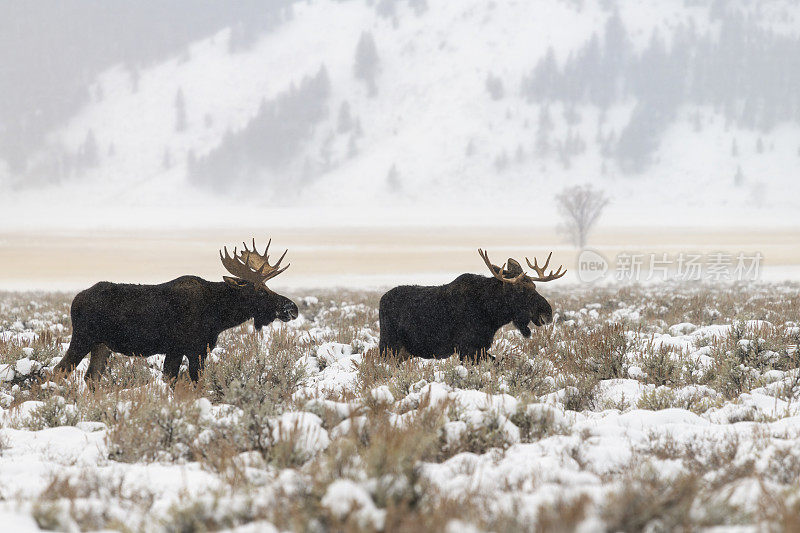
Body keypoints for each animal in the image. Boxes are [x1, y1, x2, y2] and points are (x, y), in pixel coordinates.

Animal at [54, 238, 296, 382]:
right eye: (261, 291)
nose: (291, 307)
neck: (219, 317)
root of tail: (75, 300)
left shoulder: (179, 350)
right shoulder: (192, 349)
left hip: (102, 346)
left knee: (90, 378)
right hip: (83, 338)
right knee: (59, 370)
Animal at [378, 248, 564, 358]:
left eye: (534, 285)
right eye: (520, 289)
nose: (547, 312)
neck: (492, 315)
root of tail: (381, 300)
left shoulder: (479, 347)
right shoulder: (467, 348)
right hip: (389, 346)